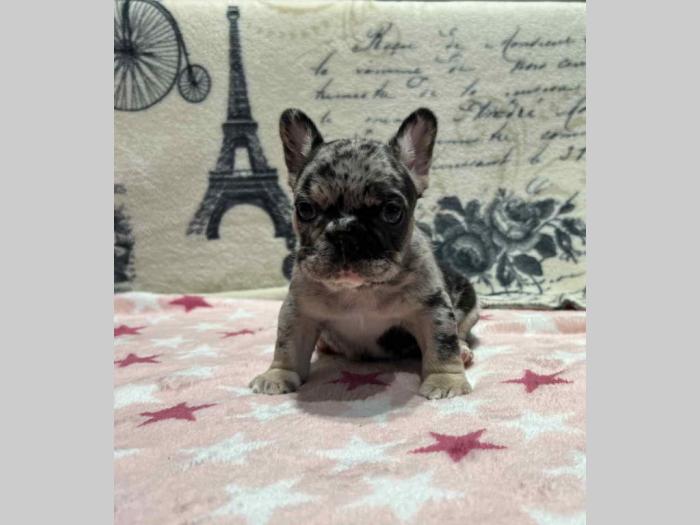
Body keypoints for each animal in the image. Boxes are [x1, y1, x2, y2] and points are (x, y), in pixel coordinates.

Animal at [249, 108, 478, 399]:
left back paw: (464, 351)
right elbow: (287, 345)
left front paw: (445, 380)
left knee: (459, 333)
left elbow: (443, 344)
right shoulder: (298, 311)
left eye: (392, 211)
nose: (345, 232)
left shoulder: (432, 308)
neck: (359, 290)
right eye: (305, 209)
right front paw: (278, 375)